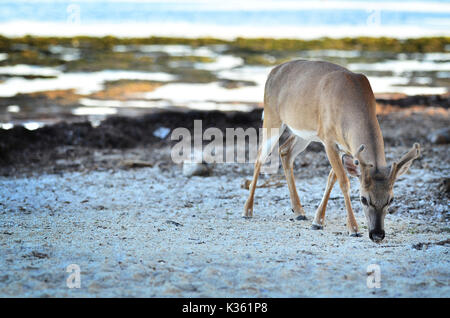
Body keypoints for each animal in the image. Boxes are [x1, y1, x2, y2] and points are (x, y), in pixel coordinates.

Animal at [244, 59, 420, 242]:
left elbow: (331, 179)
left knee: (285, 151)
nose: (377, 234)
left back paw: (299, 212)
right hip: (272, 118)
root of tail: (273, 71)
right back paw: (248, 211)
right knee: (260, 156)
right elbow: (344, 181)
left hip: (304, 132)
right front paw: (353, 229)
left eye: (391, 199)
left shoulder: (346, 148)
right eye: (363, 199)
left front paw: (317, 221)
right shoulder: (328, 140)